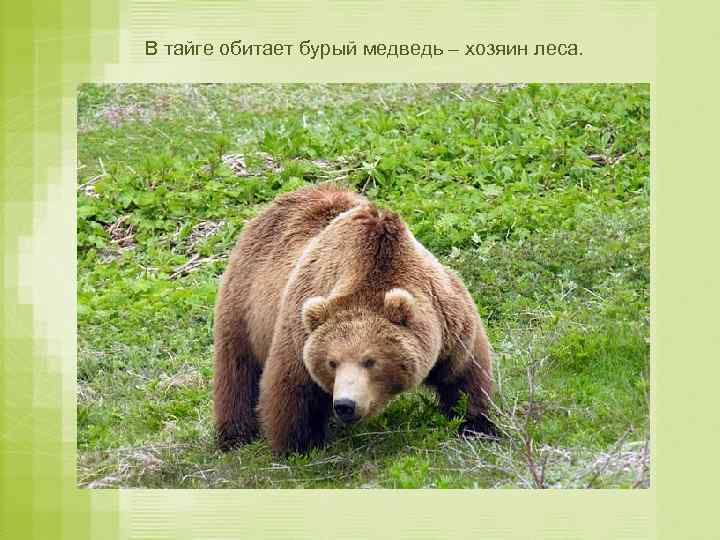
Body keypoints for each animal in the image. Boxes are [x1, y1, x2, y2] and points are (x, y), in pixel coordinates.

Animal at [213, 183, 496, 454]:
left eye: (370, 361)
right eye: (332, 362)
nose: (345, 405)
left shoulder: (448, 319)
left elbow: (465, 374)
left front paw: (478, 426)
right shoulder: (299, 331)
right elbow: (292, 389)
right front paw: (299, 446)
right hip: (244, 302)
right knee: (237, 369)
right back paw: (235, 435)